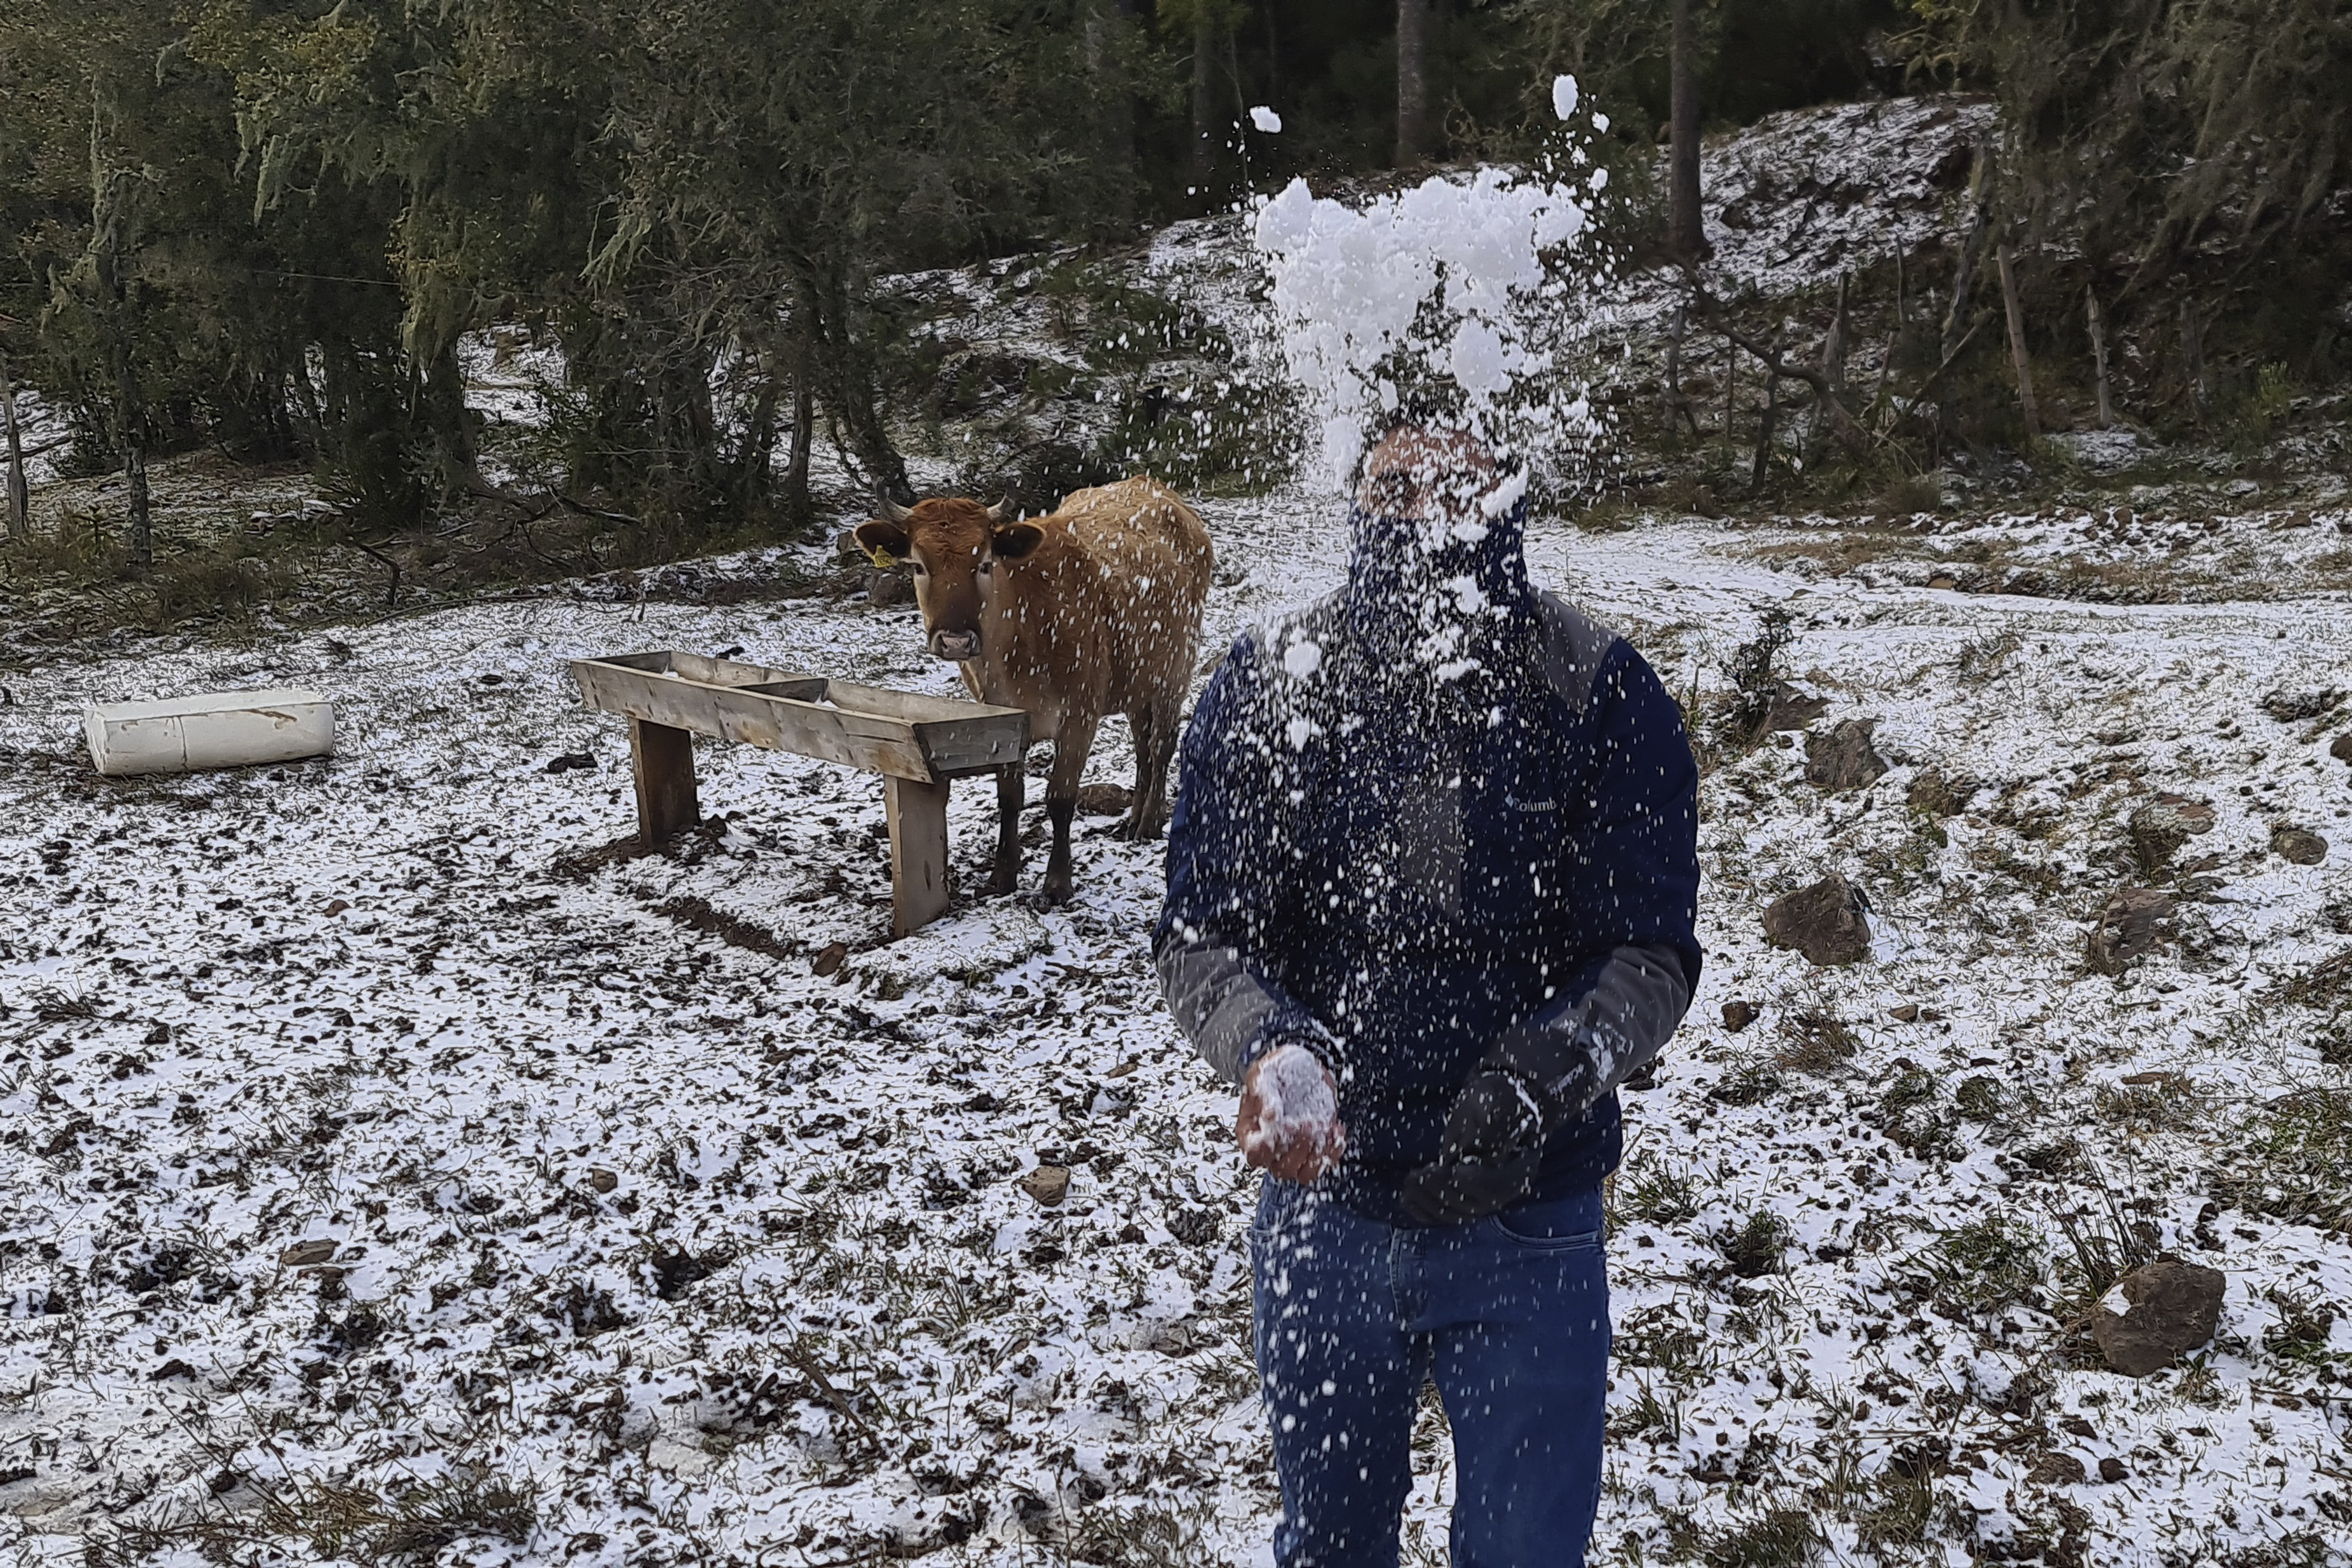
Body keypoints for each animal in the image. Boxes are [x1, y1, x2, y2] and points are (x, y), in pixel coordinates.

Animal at [851, 472, 1213, 903]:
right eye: (919, 566)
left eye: (985, 563)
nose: (955, 640)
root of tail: (1152, 484)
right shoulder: (1003, 722)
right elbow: (1010, 798)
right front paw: (1002, 876)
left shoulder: (1080, 715)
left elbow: (1060, 798)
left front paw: (1057, 882)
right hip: (1137, 679)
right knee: (1143, 744)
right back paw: (1135, 818)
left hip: (1176, 669)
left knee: (1162, 744)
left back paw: (1150, 822)